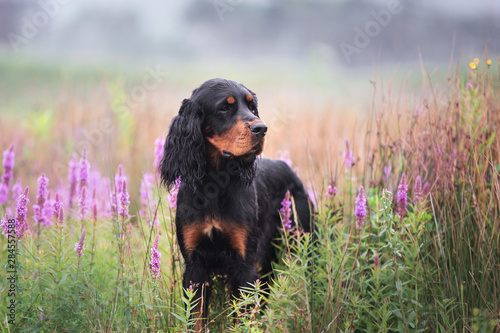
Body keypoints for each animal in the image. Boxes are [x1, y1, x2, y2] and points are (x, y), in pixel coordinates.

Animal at [159, 78, 308, 330]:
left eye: (252, 107)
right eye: (223, 108)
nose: (261, 128)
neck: (215, 185)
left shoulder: (243, 265)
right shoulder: (195, 266)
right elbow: (196, 320)